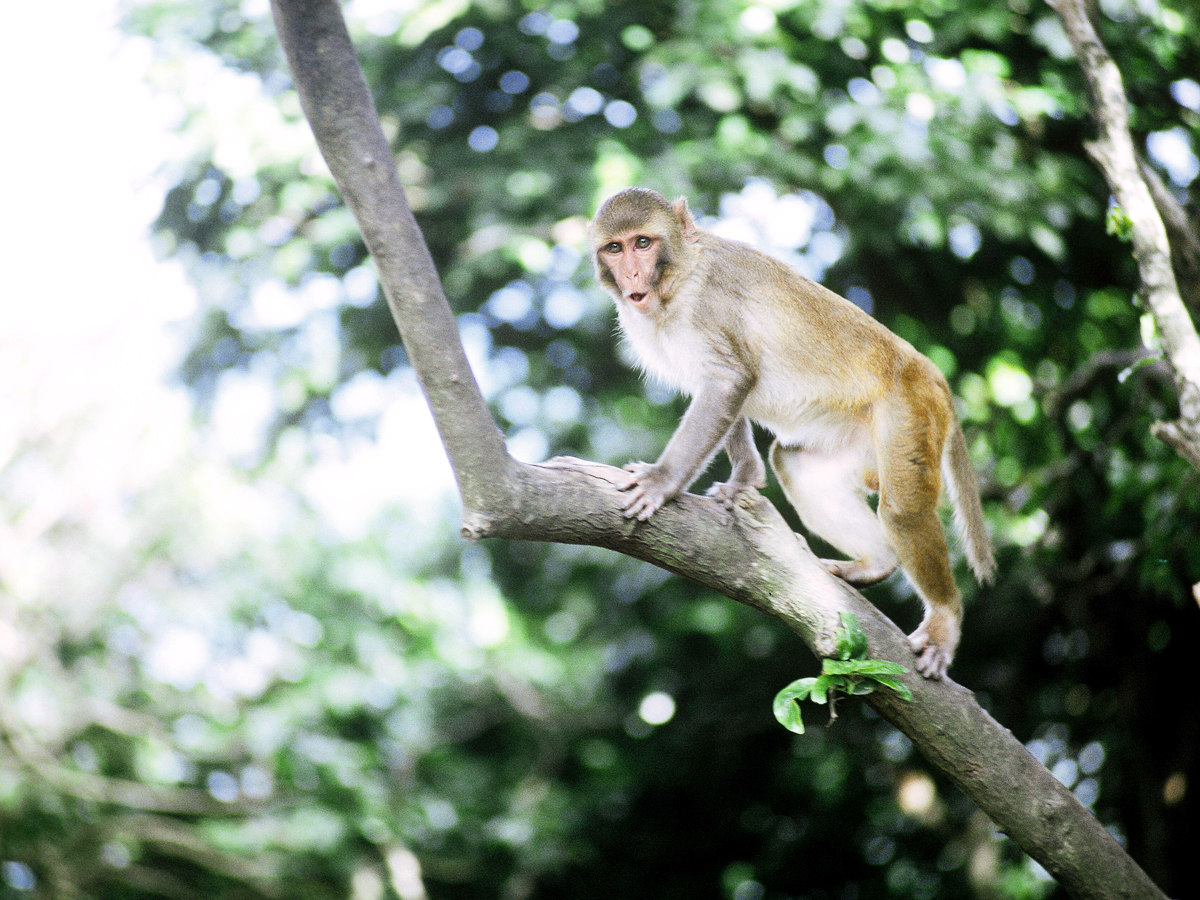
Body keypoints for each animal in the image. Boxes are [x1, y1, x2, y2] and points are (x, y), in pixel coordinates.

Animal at [590, 187, 995, 679]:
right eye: (615, 248)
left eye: (643, 243)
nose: (631, 272)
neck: (680, 276)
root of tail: (934, 375)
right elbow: (724, 393)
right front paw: (745, 478)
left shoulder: (707, 306)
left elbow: (728, 381)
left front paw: (661, 481)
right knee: (796, 464)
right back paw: (873, 564)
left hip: (909, 411)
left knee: (903, 513)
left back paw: (944, 618)